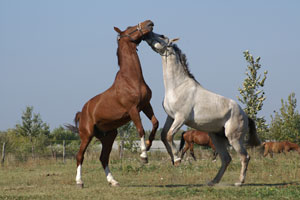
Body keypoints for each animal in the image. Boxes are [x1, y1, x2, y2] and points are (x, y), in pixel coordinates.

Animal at [66, 19, 159, 187]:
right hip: (86, 135)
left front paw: (148, 145)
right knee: (79, 156)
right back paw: (79, 181)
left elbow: (155, 123)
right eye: (130, 28)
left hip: (108, 136)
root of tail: (82, 112)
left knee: (103, 157)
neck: (131, 79)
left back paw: (113, 181)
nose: (149, 22)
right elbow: (141, 129)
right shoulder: (133, 109)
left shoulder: (145, 105)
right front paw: (143, 156)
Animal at [144, 32, 262, 187]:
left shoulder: (180, 118)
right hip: (216, 137)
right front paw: (173, 159)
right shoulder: (171, 117)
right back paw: (213, 181)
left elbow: (169, 135)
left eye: (162, 36)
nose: (146, 35)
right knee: (226, 159)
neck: (177, 86)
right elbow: (164, 135)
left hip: (234, 138)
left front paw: (177, 159)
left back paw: (239, 182)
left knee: (244, 157)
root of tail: (245, 115)